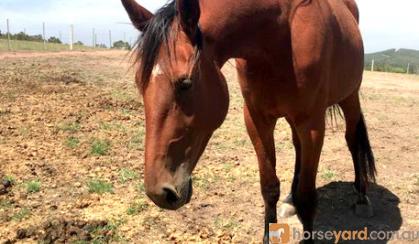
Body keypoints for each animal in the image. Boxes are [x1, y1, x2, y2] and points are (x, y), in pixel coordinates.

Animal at [121, 0, 378, 241]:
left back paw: (362, 197)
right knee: (298, 147)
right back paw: (291, 199)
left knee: (352, 139)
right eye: (139, 83)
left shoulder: (312, 125)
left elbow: (307, 197)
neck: (282, 33)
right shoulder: (257, 120)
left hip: (349, 97)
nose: (159, 193)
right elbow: (269, 187)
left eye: (185, 83)